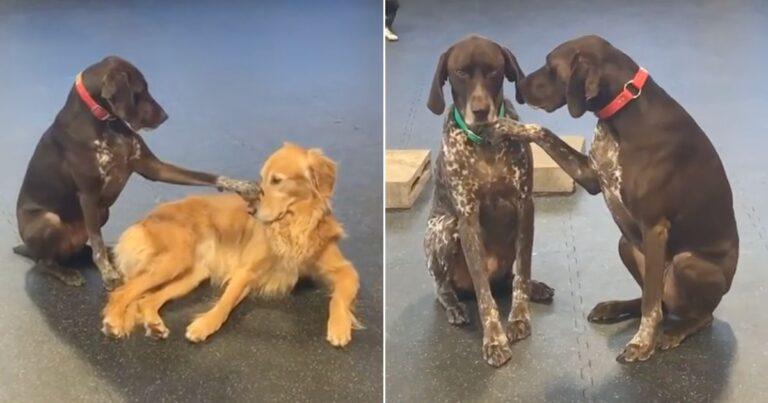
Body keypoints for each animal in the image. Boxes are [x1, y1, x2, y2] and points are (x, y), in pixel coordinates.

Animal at [101, 144, 360, 346]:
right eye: (261, 179)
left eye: (277, 181)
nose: (251, 210)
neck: (294, 225)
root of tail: (144, 219)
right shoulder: (246, 271)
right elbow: (226, 302)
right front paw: (204, 325)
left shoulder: (345, 269)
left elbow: (340, 298)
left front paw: (339, 326)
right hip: (174, 260)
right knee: (122, 292)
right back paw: (113, 321)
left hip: (191, 274)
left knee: (146, 300)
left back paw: (154, 324)